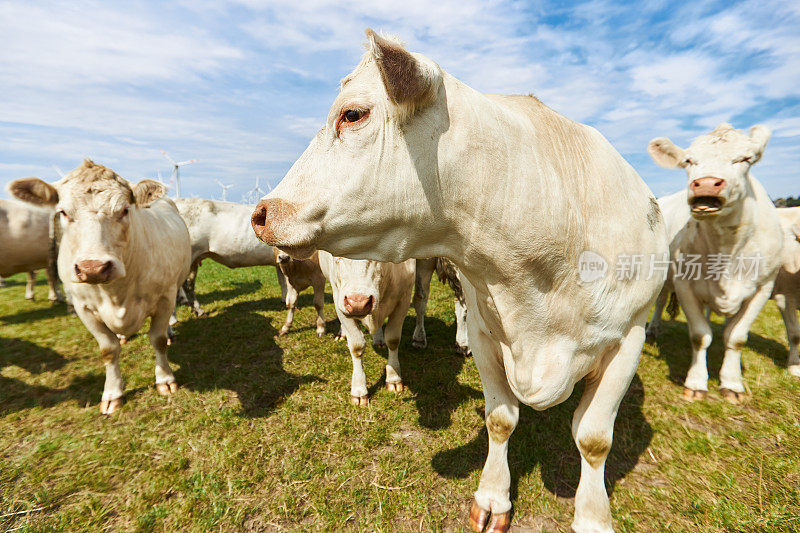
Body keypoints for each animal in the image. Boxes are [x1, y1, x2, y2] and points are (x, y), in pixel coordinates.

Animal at [8, 160, 191, 414]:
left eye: (125, 210)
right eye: (63, 212)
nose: (93, 268)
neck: (116, 294)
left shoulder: (164, 296)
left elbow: (158, 339)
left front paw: (164, 379)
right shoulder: (83, 307)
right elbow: (108, 349)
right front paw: (113, 393)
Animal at [318, 251, 416, 406]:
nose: (357, 303)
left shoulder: (404, 298)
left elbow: (393, 340)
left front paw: (393, 378)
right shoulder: (339, 300)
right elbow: (356, 346)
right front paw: (359, 390)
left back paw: (379, 340)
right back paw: (342, 334)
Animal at [648, 122, 780, 402]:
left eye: (745, 159)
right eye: (688, 161)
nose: (707, 184)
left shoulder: (763, 288)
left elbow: (737, 338)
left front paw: (732, 383)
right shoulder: (685, 284)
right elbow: (699, 335)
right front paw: (697, 382)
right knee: (661, 301)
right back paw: (653, 329)